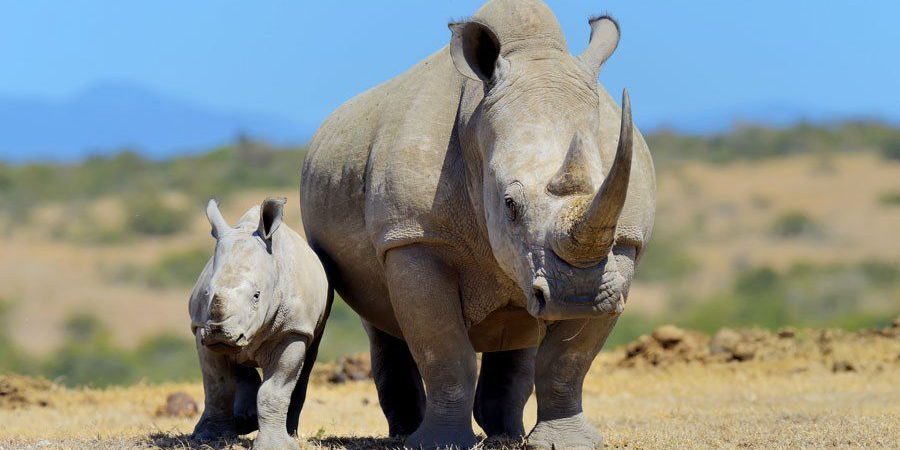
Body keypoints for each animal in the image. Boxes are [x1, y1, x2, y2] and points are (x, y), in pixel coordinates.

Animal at [189, 198, 331, 450]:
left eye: (257, 296)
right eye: (206, 293)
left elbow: (275, 389)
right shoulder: (200, 328)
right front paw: (210, 437)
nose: (219, 333)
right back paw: (243, 421)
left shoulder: (292, 329)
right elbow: (217, 386)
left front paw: (275, 445)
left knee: (306, 364)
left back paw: (289, 433)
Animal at [301, 0, 655, 448]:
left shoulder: (623, 242)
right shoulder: (414, 238)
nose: (577, 296)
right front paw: (440, 444)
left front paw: (564, 443)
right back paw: (406, 435)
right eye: (510, 205)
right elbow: (444, 350)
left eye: (610, 190)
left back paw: (506, 435)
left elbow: (568, 360)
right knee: (380, 321)